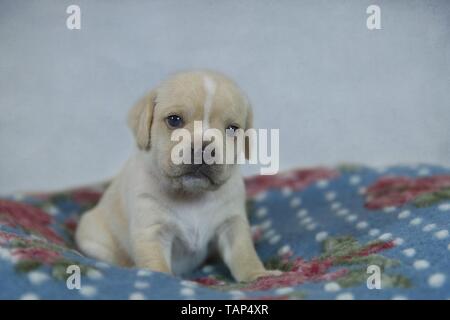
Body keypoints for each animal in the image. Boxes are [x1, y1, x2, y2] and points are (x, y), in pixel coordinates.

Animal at [76, 70, 282, 282]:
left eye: (232, 128)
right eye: (174, 120)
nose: (204, 149)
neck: (192, 195)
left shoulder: (232, 224)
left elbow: (244, 253)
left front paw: (259, 275)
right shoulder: (152, 230)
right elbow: (155, 264)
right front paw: (159, 279)